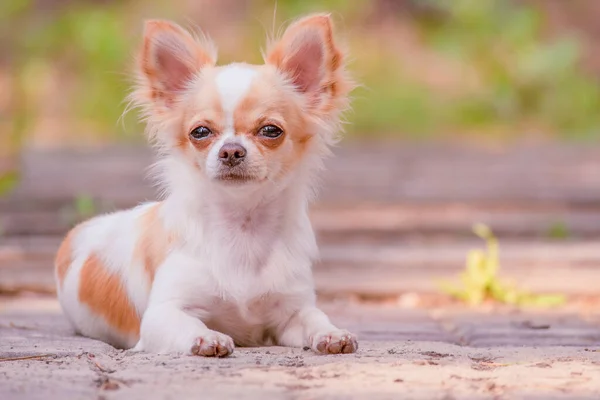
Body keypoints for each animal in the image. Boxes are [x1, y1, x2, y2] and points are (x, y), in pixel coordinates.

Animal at [54, 13, 356, 356]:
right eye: (200, 132)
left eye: (270, 130)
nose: (231, 150)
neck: (243, 229)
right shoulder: (162, 314)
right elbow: (186, 323)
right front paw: (207, 337)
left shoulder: (292, 310)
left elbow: (314, 318)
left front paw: (332, 333)